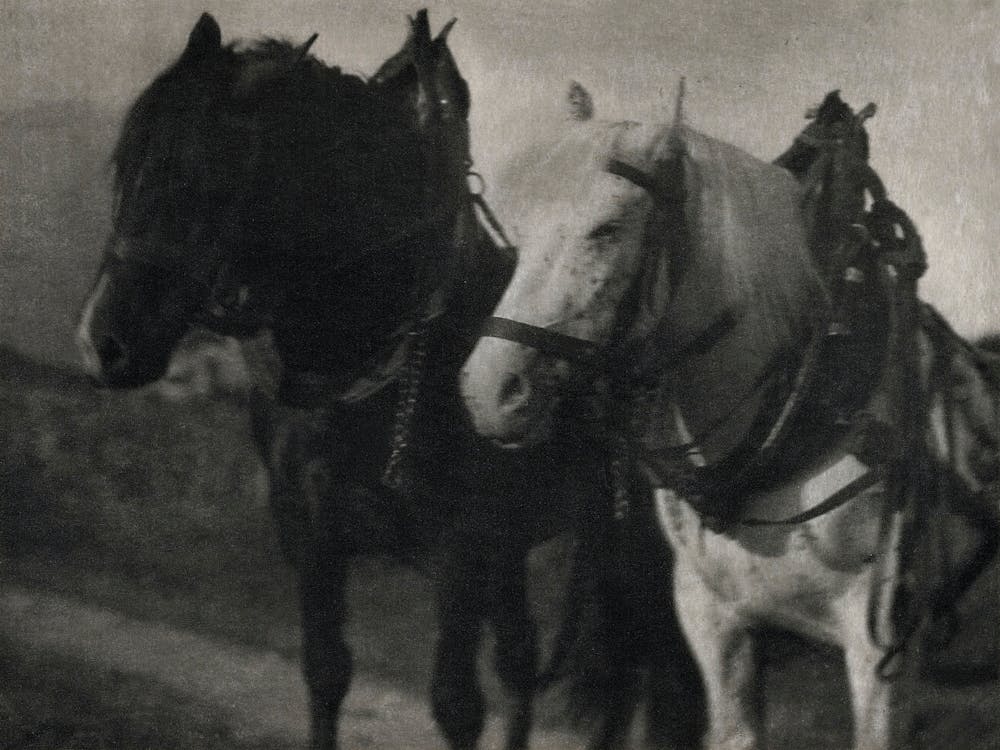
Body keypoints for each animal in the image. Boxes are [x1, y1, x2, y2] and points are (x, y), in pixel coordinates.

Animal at [74, 12, 704, 750]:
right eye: (128, 165)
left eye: (212, 181)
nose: (103, 343)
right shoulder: (316, 540)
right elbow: (326, 673)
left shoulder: (462, 554)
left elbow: (456, 704)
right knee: (529, 659)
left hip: (633, 557)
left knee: (643, 674)